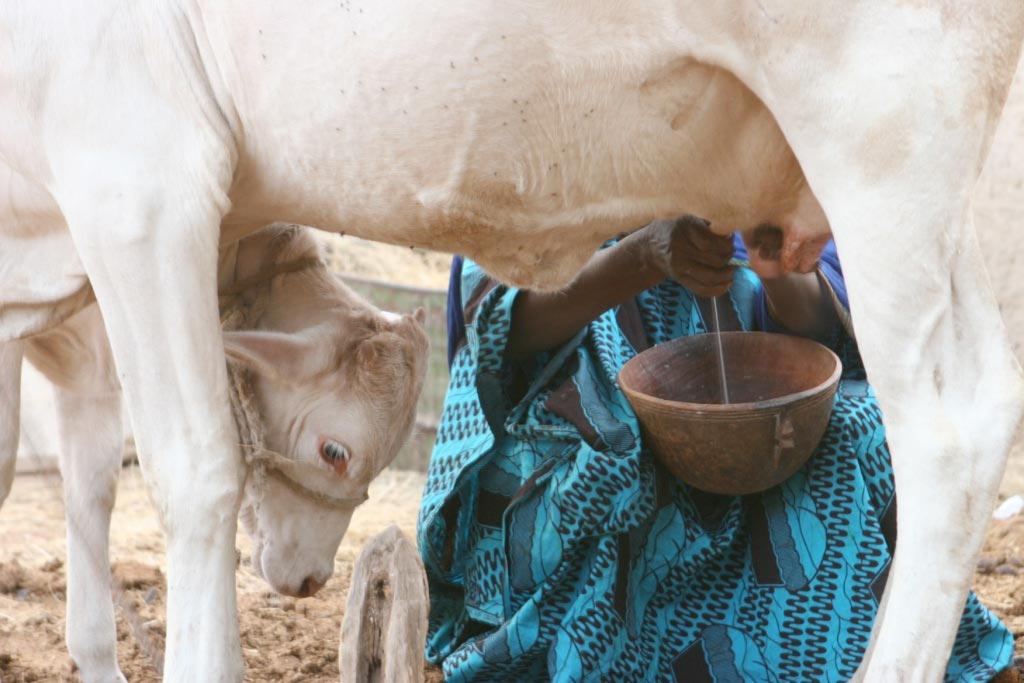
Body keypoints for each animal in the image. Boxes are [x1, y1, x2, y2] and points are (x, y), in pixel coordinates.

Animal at [0, 2, 1019, 679]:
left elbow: (192, 471)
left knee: (949, 434)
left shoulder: (139, 187)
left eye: (338, 453)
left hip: (887, 129)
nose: (305, 579)